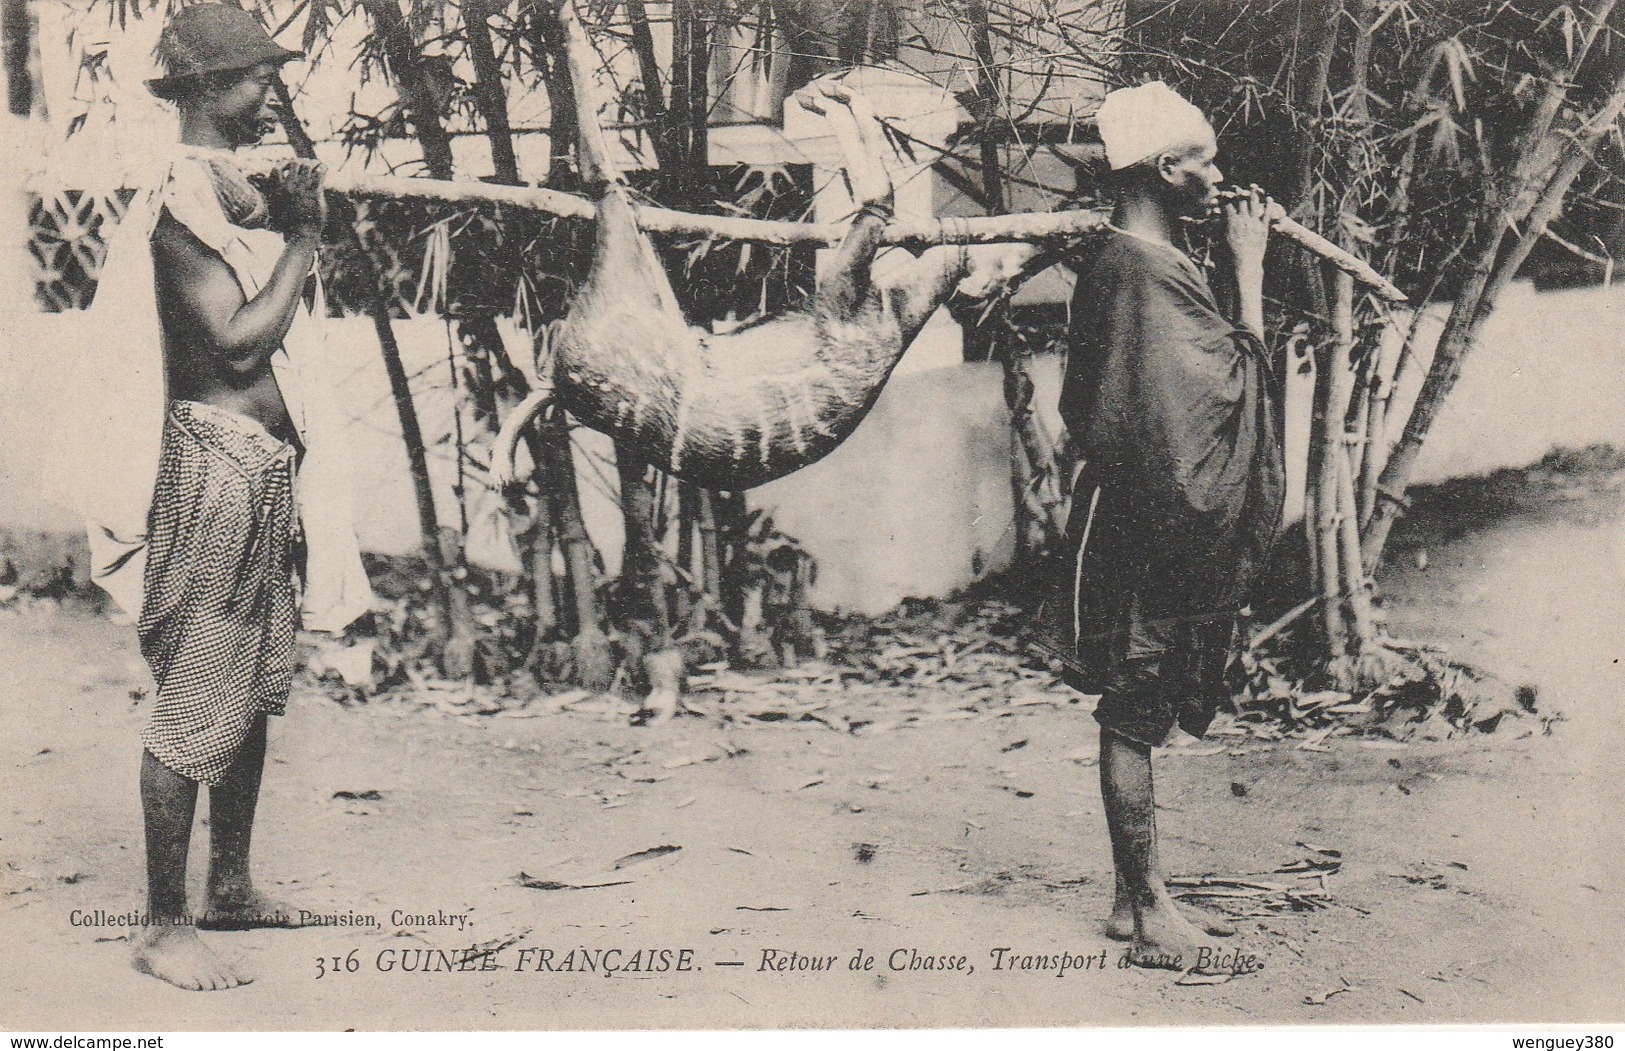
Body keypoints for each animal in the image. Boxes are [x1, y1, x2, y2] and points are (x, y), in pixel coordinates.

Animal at [487, 0, 1033, 493]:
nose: (1020, 256)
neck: (897, 312)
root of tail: (562, 385)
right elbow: (879, 192)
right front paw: (826, 91)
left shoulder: (844, 305)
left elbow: (879, 197)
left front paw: (830, 96)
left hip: (624, 285)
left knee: (602, 179)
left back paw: (565, 22)